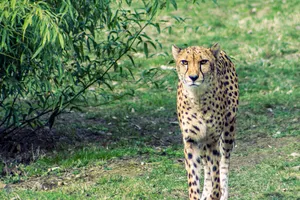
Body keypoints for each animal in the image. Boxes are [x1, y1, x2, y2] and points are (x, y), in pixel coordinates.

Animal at [171, 44, 239, 200]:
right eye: (184, 62)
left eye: (203, 62)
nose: (193, 77)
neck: (197, 98)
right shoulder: (192, 140)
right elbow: (194, 179)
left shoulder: (212, 140)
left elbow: (216, 174)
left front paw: (216, 193)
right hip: (203, 142)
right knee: (206, 167)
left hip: (228, 129)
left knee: (224, 162)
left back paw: (223, 193)